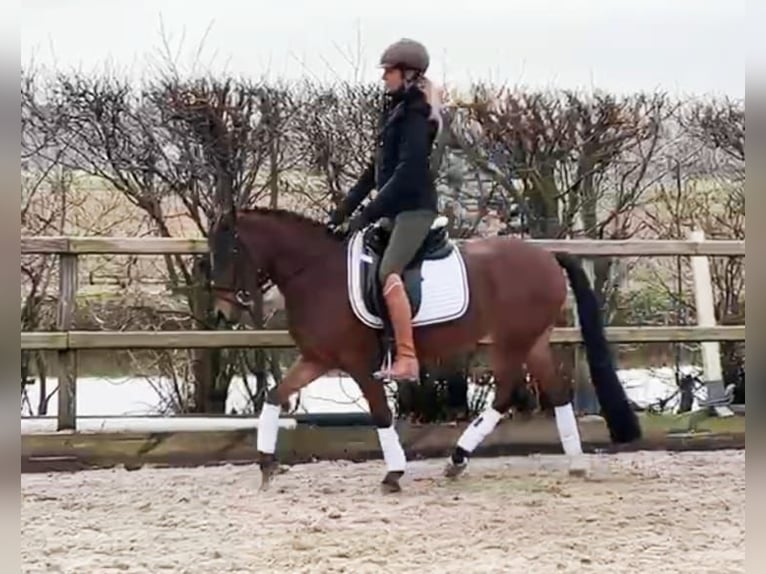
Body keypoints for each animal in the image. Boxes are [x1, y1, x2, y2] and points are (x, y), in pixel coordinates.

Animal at [208, 208, 640, 496]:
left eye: (231, 252)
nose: (223, 311)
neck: (316, 273)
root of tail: (546, 256)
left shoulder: (358, 364)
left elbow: (381, 415)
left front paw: (393, 474)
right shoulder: (318, 359)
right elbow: (274, 396)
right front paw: (267, 465)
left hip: (512, 340)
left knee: (507, 392)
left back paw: (464, 459)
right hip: (530, 341)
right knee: (551, 392)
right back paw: (562, 462)